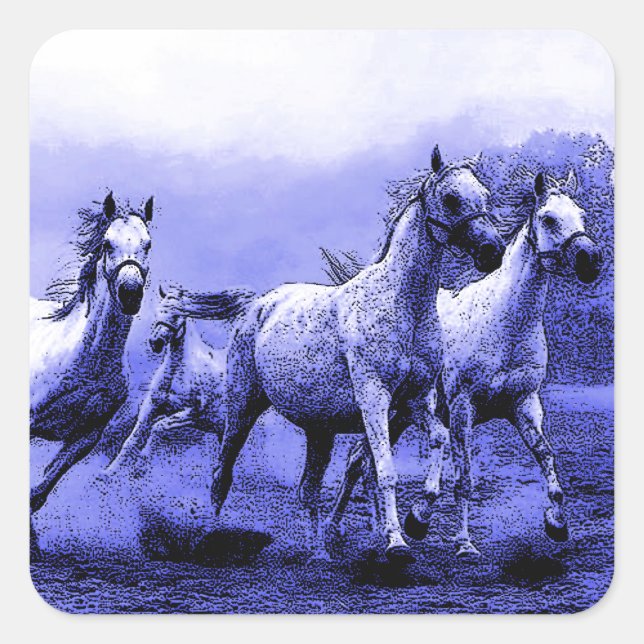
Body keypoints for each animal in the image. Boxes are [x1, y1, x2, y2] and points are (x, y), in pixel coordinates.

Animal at [106, 283, 255, 472]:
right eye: (158, 311)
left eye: (177, 313)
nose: (156, 342)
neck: (177, 372)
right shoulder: (151, 406)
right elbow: (132, 439)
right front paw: (109, 471)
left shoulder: (192, 414)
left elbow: (158, 428)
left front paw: (142, 462)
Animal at [209, 145, 506, 562]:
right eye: (451, 198)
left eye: (484, 195)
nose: (492, 252)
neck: (405, 306)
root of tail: (258, 305)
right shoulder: (374, 398)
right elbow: (383, 470)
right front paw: (397, 542)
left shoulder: (414, 401)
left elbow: (439, 439)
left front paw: (419, 518)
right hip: (243, 407)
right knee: (223, 473)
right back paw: (211, 533)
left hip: (319, 431)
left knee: (308, 489)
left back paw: (319, 553)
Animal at [324, 167, 603, 559]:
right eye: (549, 218)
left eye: (581, 216)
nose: (591, 259)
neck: (507, 323)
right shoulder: (462, 408)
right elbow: (464, 479)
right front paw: (446, 534)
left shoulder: (524, 405)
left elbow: (546, 457)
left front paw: (557, 523)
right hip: (387, 410)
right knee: (359, 462)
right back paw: (344, 530)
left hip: (397, 415)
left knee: (360, 460)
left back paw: (373, 530)